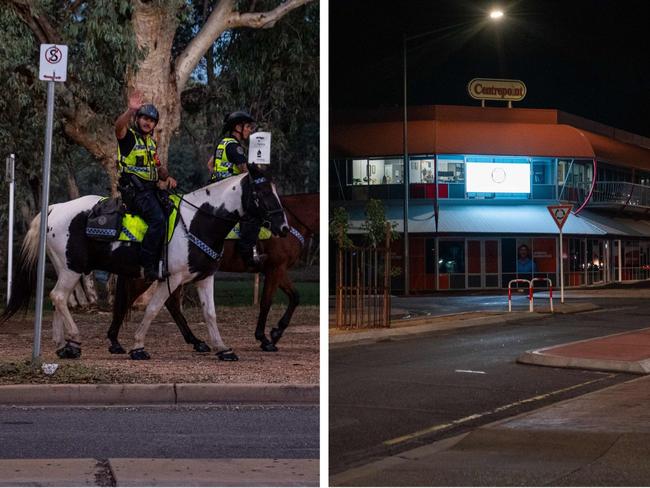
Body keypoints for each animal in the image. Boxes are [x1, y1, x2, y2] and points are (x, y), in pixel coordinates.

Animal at [0, 166, 288, 360]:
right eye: (262, 192)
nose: (283, 227)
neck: (197, 221)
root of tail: (54, 208)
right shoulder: (172, 278)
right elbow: (153, 309)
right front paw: (138, 346)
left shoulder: (204, 277)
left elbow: (210, 313)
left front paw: (222, 348)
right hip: (72, 269)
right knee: (59, 296)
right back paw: (75, 340)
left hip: (66, 268)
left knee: (57, 298)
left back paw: (64, 346)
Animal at [106, 192, 318, 354]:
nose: (281, 229)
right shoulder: (275, 268)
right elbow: (266, 303)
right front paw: (265, 338)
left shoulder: (277, 270)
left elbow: (295, 297)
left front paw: (276, 333)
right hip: (152, 274)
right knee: (130, 299)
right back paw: (114, 340)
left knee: (171, 304)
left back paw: (196, 341)